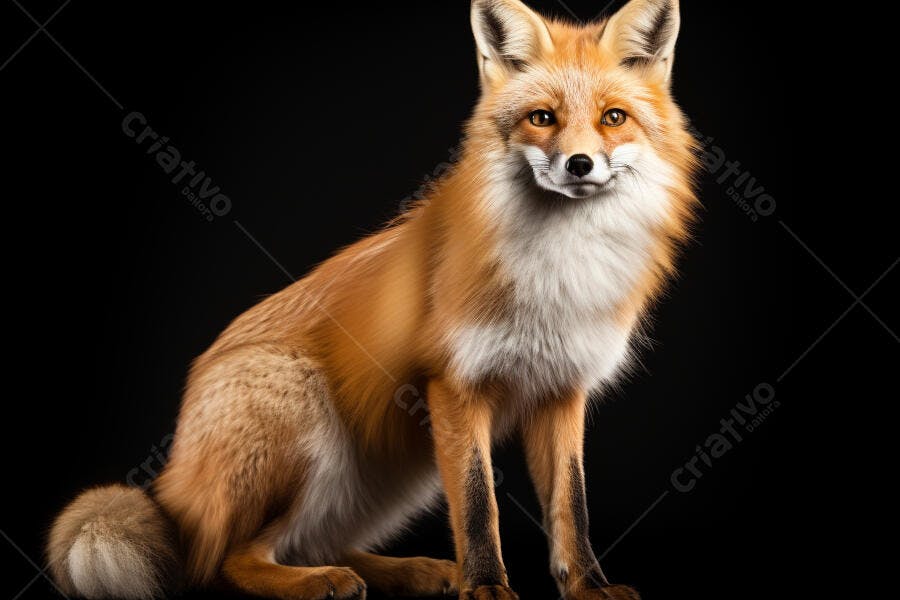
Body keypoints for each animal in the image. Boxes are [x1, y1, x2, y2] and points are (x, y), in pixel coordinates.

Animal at [47, 0, 698, 598]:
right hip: (304, 426)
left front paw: (587, 585)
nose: (579, 164)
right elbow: (477, 504)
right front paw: (486, 586)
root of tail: (174, 481)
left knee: (313, 542)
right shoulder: (455, 385)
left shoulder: (562, 390)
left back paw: (411, 570)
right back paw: (320, 582)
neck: (558, 271)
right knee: (226, 561)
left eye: (613, 118)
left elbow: (572, 505)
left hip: (394, 477)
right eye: (543, 118)